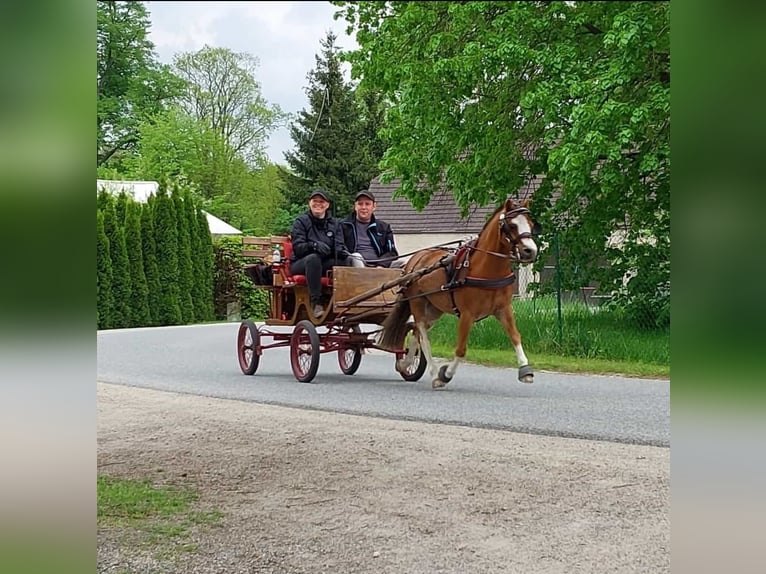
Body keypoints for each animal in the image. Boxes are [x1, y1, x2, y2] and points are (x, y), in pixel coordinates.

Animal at [380, 199, 544, 392]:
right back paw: (434, 373)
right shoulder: (467, 314)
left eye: (531, 224)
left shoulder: (504, 309)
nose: (530, 251)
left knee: (417, 332)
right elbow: (461, 349)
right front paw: (445, 374)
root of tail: (416, 259)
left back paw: (406, 363)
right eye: (512, 225)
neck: (485, 270)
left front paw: (525, 370)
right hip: (417, 303)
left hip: (434, 308)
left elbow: (516, 336)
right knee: (422, 334)